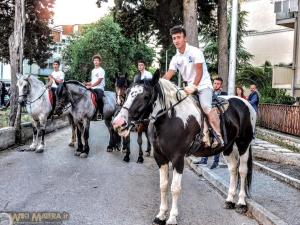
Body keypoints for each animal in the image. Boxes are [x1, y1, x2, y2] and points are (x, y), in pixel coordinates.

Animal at [112, 69, 255, 224]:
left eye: (145, 96)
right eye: (127, 92)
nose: (118, 123)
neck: (171, 119)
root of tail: (245, 103)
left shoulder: (178, 158)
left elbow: (175, 188)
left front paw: (172, 217)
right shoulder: (160, 157)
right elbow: (163, 185)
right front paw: (161, 215)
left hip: (243, 143)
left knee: (242, 170)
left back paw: (241, 203)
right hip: (228, 147)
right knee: (233, 169)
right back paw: (229, 200)